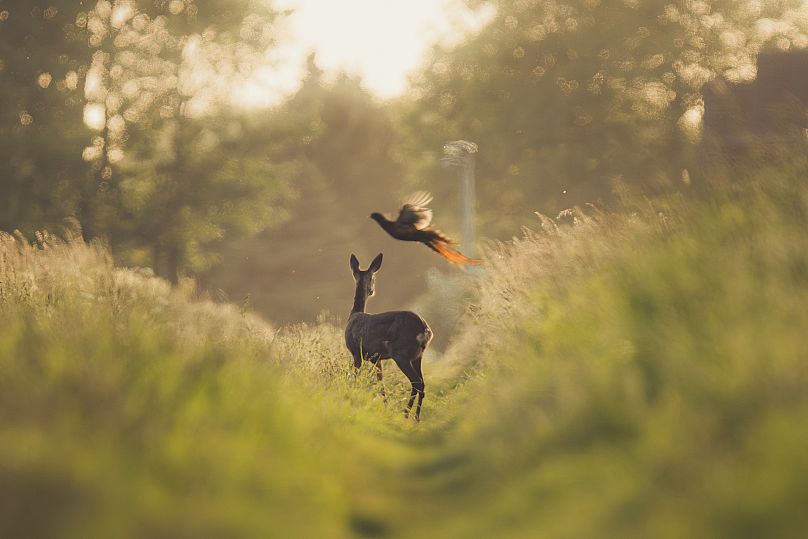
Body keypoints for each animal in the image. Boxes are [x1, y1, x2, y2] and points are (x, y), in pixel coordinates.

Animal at [344, 253, 432, 422]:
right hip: (418, 355)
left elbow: (356, 377)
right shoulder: (376, 358)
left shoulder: (356, 352)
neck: (353, 315)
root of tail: (425, 330)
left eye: (373, 278)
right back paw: (416, 418)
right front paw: (384, 406)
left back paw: (406, 415)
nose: (372, 291)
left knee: (416, 382)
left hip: (401, 353)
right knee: (422, 383)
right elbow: (381, 383)